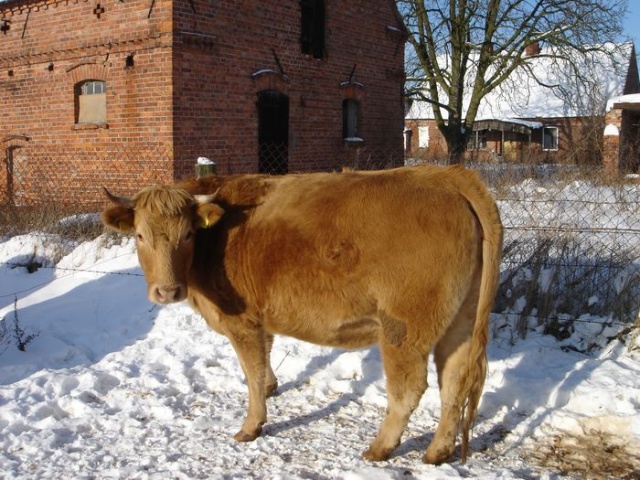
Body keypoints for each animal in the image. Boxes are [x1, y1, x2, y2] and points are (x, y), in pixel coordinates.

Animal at [101, 166, 500, 464]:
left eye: (186, 235)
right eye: (140, 235)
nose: (167, 291)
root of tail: (443, 175)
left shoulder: (241, 322)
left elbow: (250, 371)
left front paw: (252, 425)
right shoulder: (261, 316)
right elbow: (265, 357)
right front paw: (271, 387)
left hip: (404, 329)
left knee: (409, 388)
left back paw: (380, 448)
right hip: (460, 323)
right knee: (455, 381)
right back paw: (437, 451)